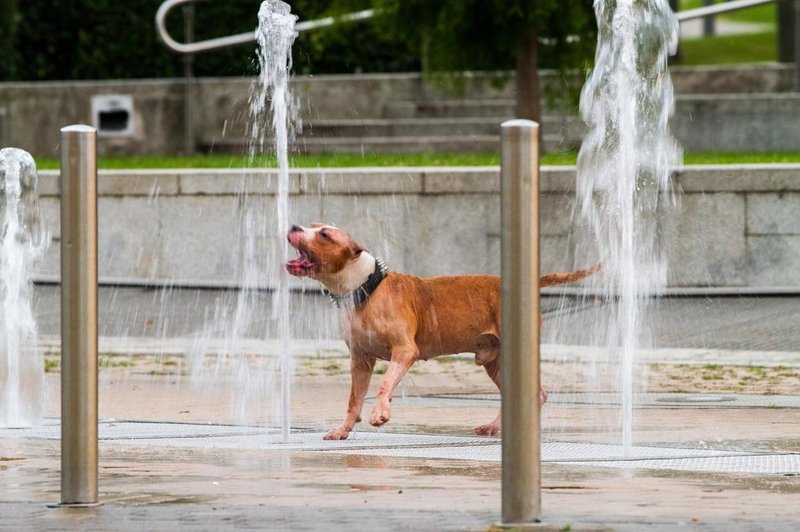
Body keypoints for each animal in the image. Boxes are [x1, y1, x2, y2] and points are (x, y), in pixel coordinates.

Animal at [288, 222, 600, 438]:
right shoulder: (360, 359)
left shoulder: (405, 351)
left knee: (537, 393)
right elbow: (354, 399)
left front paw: (380, 413)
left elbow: (384, 383)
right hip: (495, 361)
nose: (293, 227)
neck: (366, 286)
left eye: (325, 234)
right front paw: (343, 429)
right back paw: (495, 427)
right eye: (312, 225)